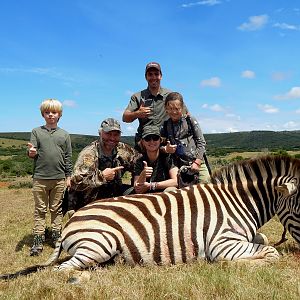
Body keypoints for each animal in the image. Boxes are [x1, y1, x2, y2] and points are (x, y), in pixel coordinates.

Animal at [0, 155, 300, 278]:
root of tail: (70, 223)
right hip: (100, 242)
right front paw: (235, 265)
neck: (237, 202)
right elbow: (272, 253)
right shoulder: (221, 243)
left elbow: (264, 240)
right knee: (62, 271)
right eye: (299, 208)